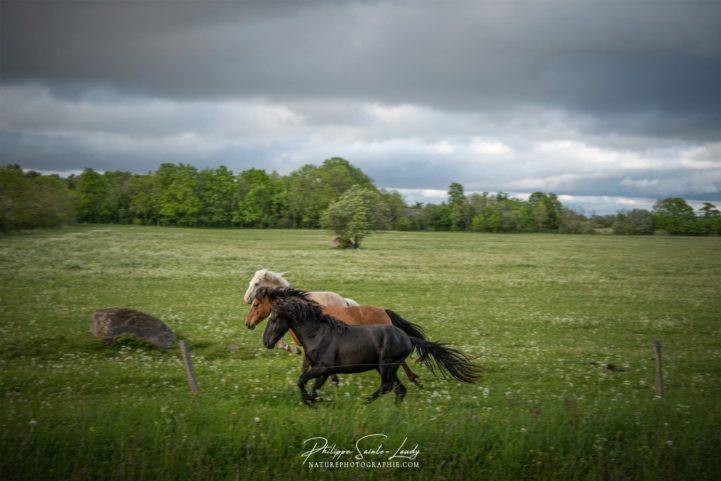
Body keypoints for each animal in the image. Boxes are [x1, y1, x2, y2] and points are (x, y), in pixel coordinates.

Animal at [245, 287, 425, 386]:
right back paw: (414, 379)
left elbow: (308, 367)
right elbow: (308, 366)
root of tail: (384, 311)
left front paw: (333, 382)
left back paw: (414, 379)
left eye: (256, 304)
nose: (248, 323)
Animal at [262, 297, 481, 405]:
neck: (318, 333)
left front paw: (309, 401)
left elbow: (302, 381)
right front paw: (313, 402)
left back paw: (365, 402)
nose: (266, 342)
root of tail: (408, 338)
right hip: (386, 367)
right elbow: (313, 387)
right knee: (399, 389)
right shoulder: (323, 371)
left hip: (386, 365)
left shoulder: (322, 368)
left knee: (387, 387)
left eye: (273, 319)